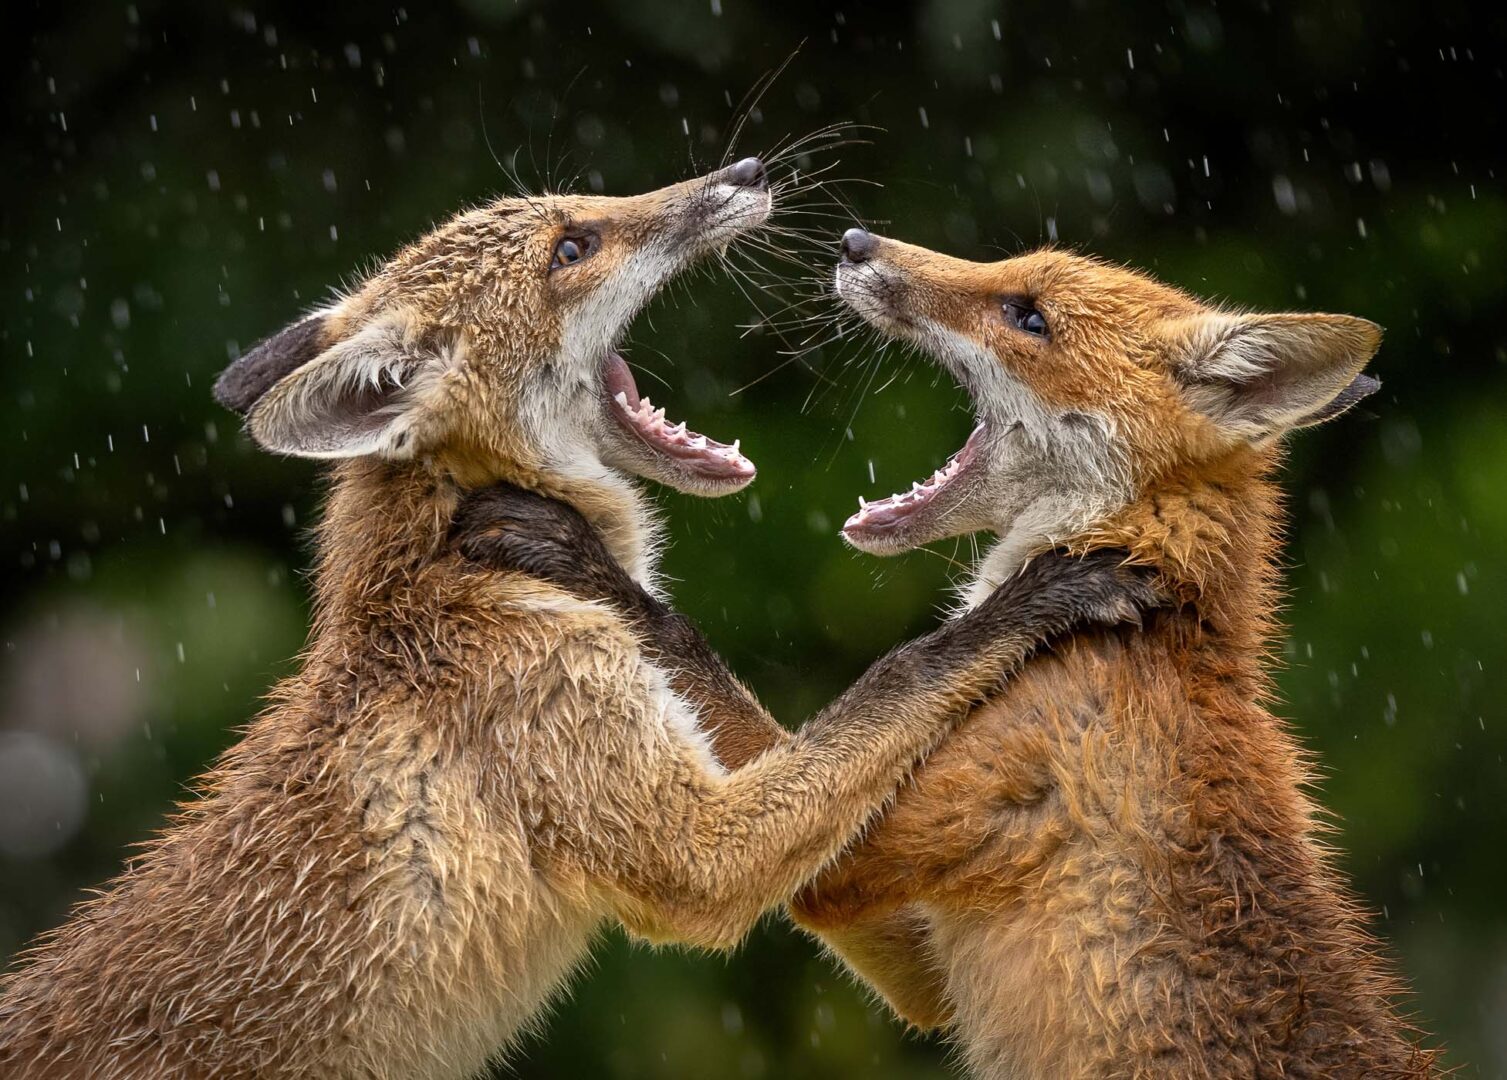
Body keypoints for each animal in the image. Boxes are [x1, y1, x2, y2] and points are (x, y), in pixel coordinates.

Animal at [0, 161, 1157, 1080]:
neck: (441, 582)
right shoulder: (685, 849)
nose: (744, 169)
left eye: (578, 216)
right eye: (573, 247)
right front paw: (1039, 597)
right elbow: (907, 670)